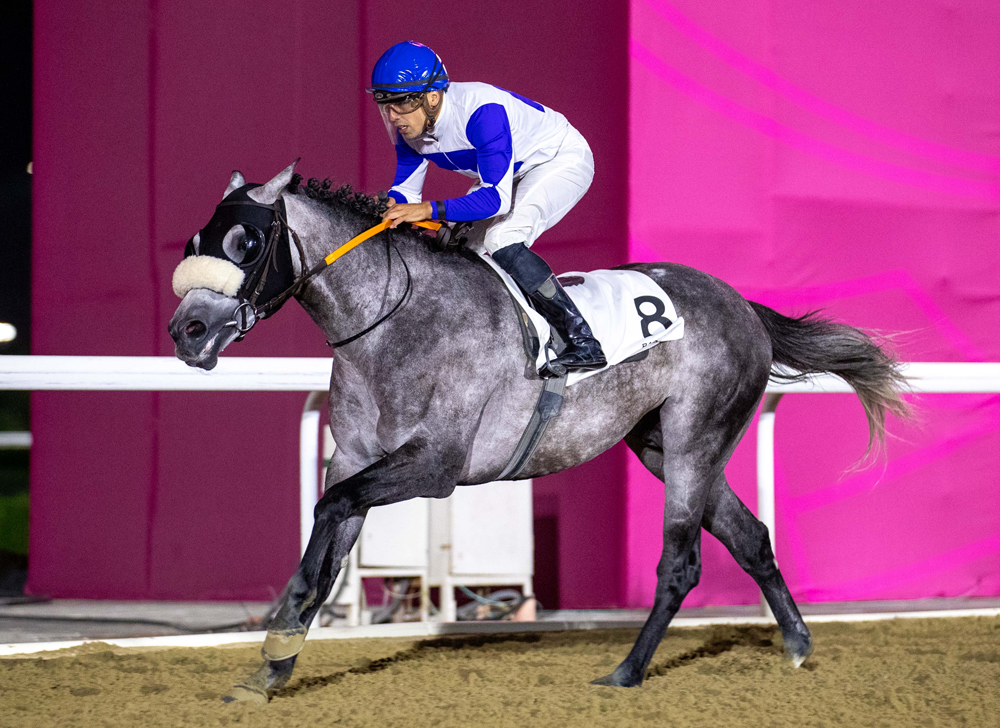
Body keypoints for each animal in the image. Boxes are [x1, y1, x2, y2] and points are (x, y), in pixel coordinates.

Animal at [168, 162, 912, 704]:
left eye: (246, 243)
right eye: (194, 244)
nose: (187, 331)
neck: (390, 323)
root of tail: (743, 306)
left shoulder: (435, 464)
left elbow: (330, 510)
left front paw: (279, 641)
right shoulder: (353, 457)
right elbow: (326, 542)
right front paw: (269, 669)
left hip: (695, 437)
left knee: (681, 562)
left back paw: (626, 672)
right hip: (662, 445)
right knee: (751, 538)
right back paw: (797, 646)